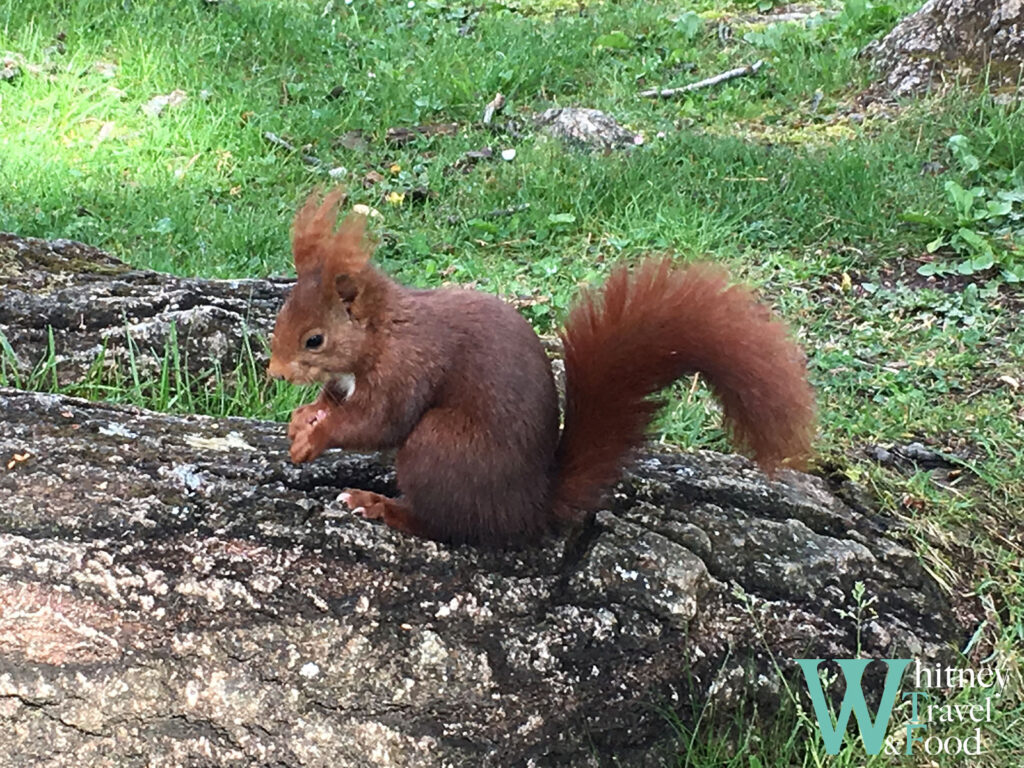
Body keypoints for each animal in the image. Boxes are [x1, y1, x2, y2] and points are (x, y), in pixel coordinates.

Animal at [268, 191, 811, 548]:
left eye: (314, 339)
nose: (275, 372)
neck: (381, 332)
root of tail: (529, 506)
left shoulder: (408, 366)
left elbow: (378, 421)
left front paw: (316, 437)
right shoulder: (345, 382)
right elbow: (331, 403)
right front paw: (301, 421)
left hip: (439, 448)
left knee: (448, 526)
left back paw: (380, 506)